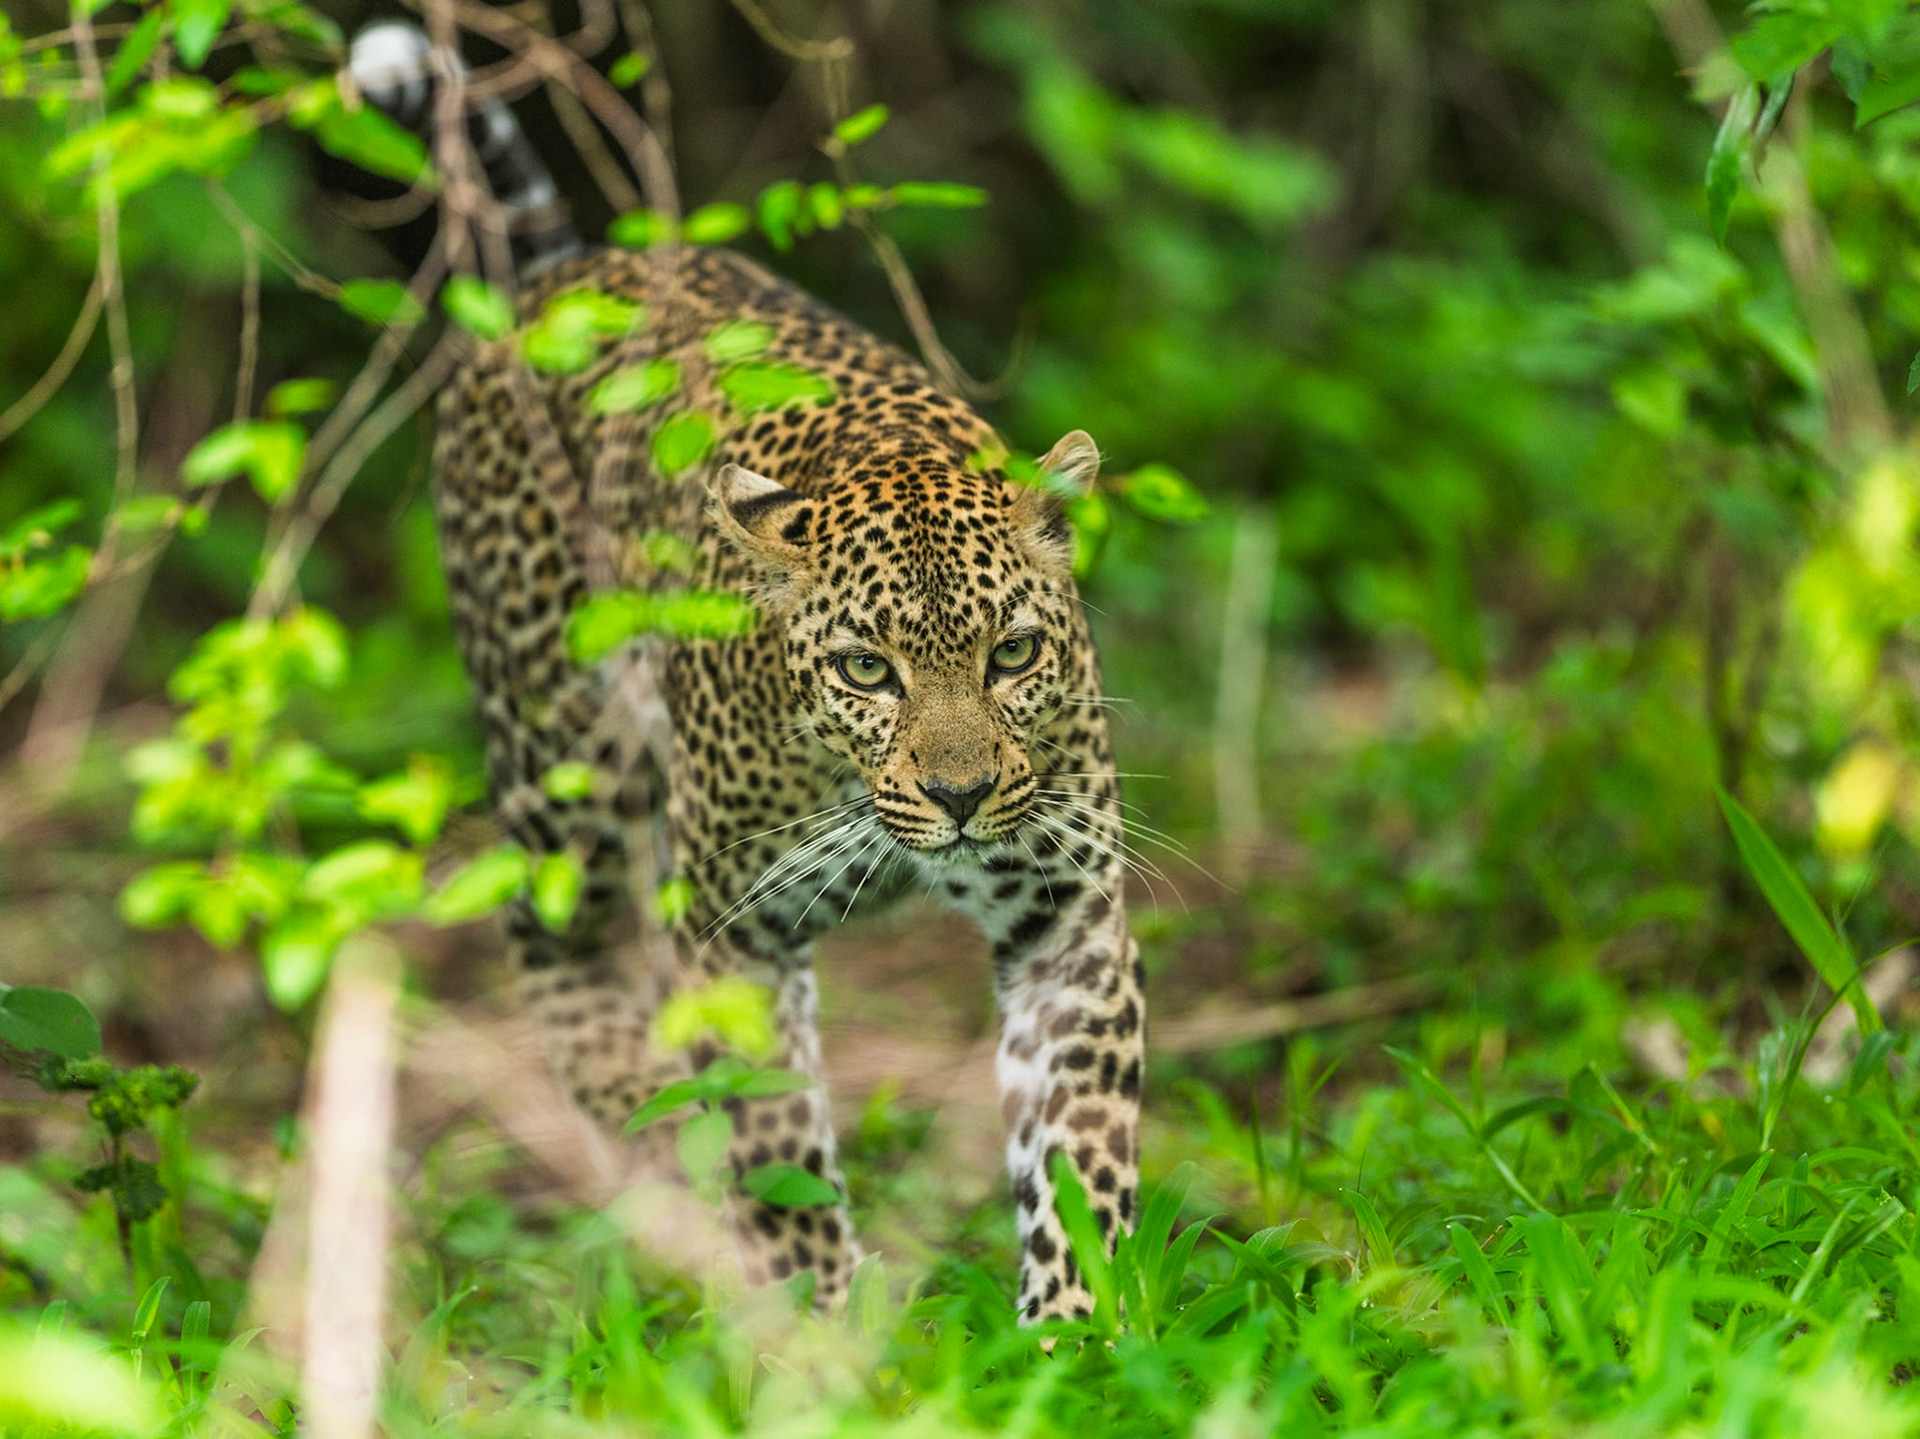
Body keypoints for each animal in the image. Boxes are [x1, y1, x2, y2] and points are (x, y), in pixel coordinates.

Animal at [353, 22, 1146, 1322]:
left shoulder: (1064, 914)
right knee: (554, 938)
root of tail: (564, 267)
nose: (963, 797)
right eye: (868, 669)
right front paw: (818, 1325)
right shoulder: (736, 927)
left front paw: (1080, 1336)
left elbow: (1080, 1152)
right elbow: (776, 1146)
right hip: (559, 746)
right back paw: (640, 1124)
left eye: (1014, 653)